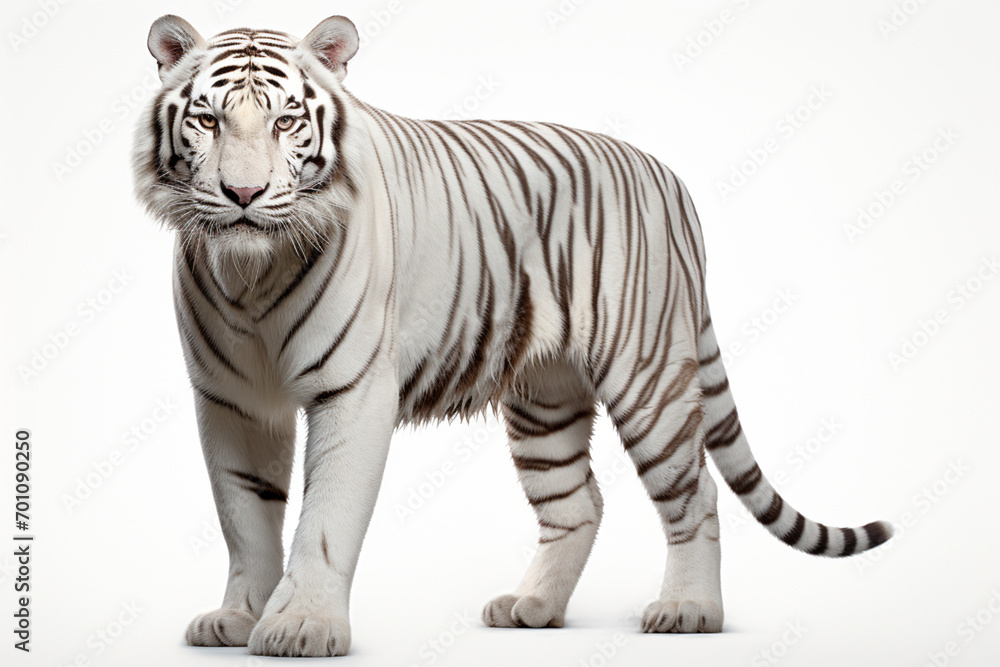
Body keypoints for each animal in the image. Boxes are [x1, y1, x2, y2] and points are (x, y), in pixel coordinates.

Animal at [132, 14, 893, 658]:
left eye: (287, 121)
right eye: (207, 119)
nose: (243, 195)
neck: (250, 272)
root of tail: (668, 177)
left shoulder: (351, 390)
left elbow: (323, 516)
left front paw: (302, 626)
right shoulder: (231, 401)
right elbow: (244, 515)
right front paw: (238, 618)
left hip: (649, 378)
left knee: (695, 491)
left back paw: (690, 610)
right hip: (544, 395)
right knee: (578, 502)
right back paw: (533, 608)